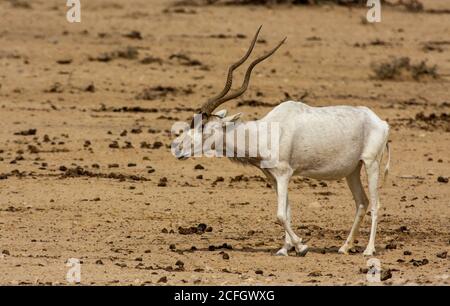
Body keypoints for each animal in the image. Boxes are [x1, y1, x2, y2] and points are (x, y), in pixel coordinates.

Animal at [174, 26, 392, 256]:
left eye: (203, 127)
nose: (177, 148)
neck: (263, 133)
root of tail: (381, 122)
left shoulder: (284, 174)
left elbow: (279, 214)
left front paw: (302, 246)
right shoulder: (273, 177)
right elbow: (286, 211)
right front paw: (285, 248)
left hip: (371, 164)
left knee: (376, 204)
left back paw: (369, 250)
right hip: (352, 170)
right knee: (362, 202)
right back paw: (344, 247)